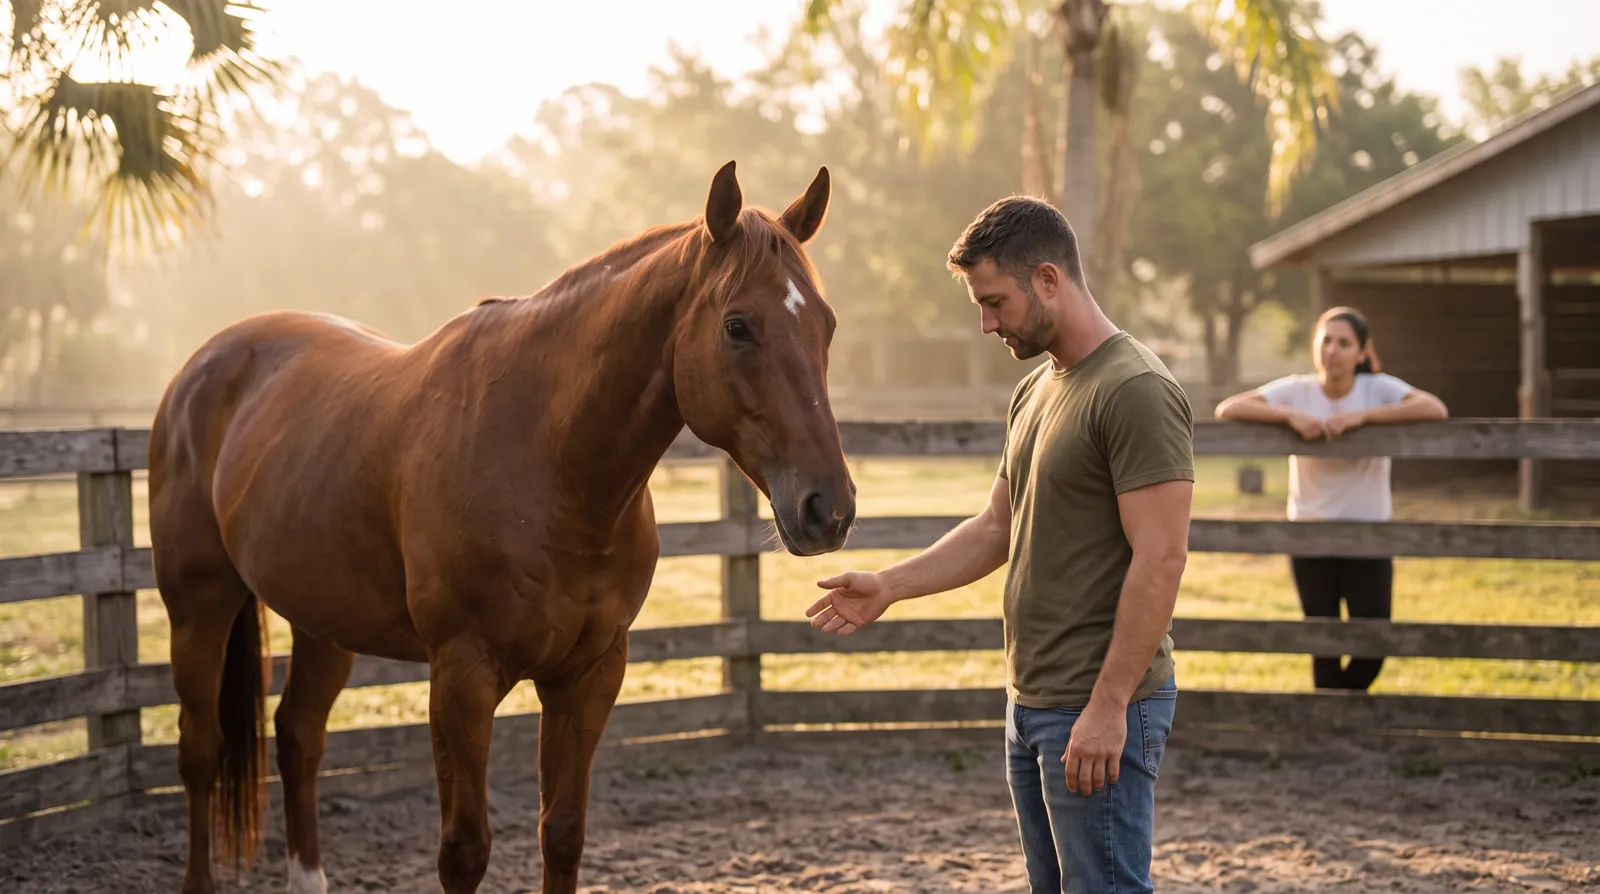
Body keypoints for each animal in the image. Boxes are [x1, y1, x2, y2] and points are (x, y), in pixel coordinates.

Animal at [147, 160, 855, 894]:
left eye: (826, 325)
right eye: (738, 327)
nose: (827, 509)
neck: (547, 462)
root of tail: (203, 367)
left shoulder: (589, 673)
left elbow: (562, 833)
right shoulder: (462, 677)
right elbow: (464, 850)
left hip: (323, 621)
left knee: (298, 736)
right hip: (198, 609)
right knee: (200, 751)